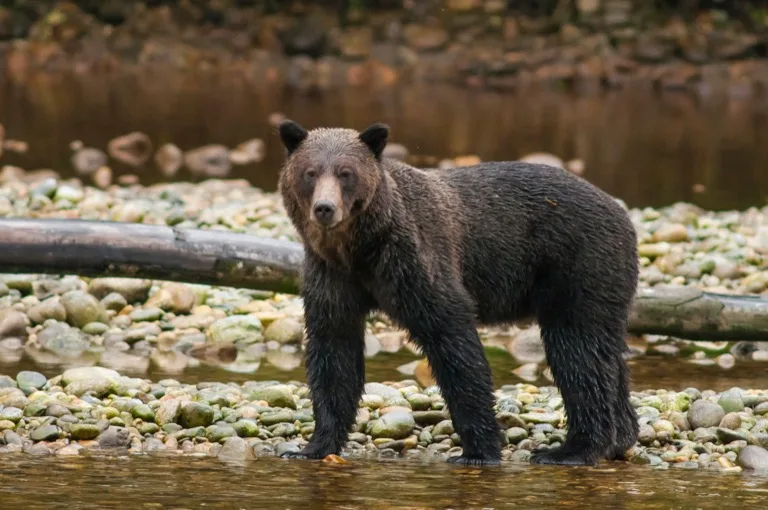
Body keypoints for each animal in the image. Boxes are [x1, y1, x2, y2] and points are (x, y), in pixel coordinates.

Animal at [276, 119, 639, 466]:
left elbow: (452, 340)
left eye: (346, 173)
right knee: (603, 355)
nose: (325, 208)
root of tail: (622, 213)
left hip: (579, 266)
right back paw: (619, 437)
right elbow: (334, 351)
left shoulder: (414, 261)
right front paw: (311, 447)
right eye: (311, 172)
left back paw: (572, 450)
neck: (360, 249)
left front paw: (477, 450)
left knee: (577, 352)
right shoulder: (332, 276)